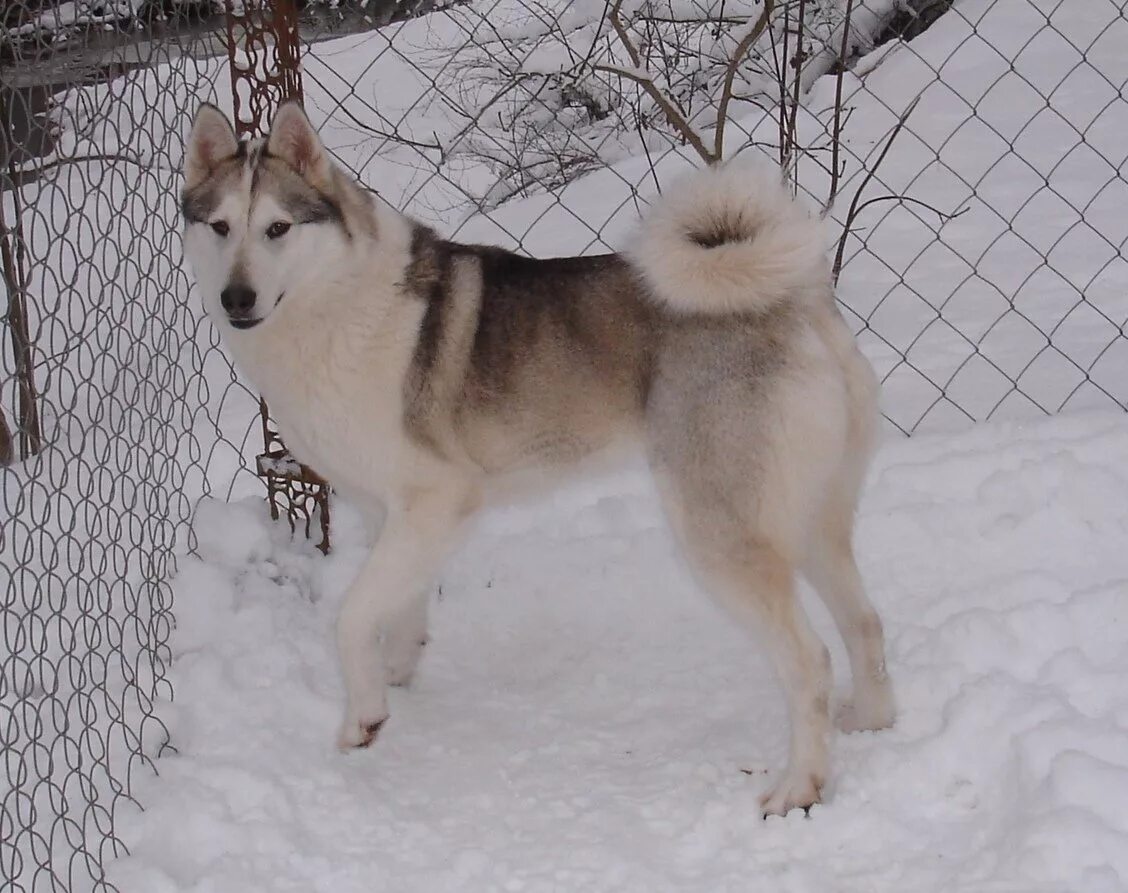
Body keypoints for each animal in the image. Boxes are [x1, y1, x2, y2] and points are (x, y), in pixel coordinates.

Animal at [180, 100, 893, 811]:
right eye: (220, 227)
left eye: (277, 228)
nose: (236, 297)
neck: (335, 303)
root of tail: (799, 301)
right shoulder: (396, 514)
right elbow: (400, 604)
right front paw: (398, 671)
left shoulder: (440, 499)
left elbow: (352, 616)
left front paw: (365, 716)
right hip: (812, 524)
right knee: (865, 621)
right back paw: (870, 720)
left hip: (720, 536)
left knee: (811, 662)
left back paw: (798, 787)